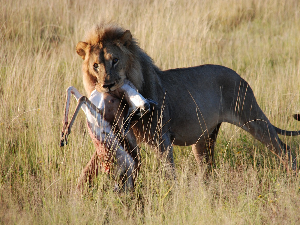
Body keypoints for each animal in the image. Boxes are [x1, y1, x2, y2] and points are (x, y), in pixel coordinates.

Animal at [75, 22, 300, 171]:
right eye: (96, 65)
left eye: (115, 60)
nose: (107, 85)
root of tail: (238, 75)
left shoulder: (162, 139)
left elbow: (168, 174)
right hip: (204, 137)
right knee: (207, 169)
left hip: (252, 116)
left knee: (285, 151)